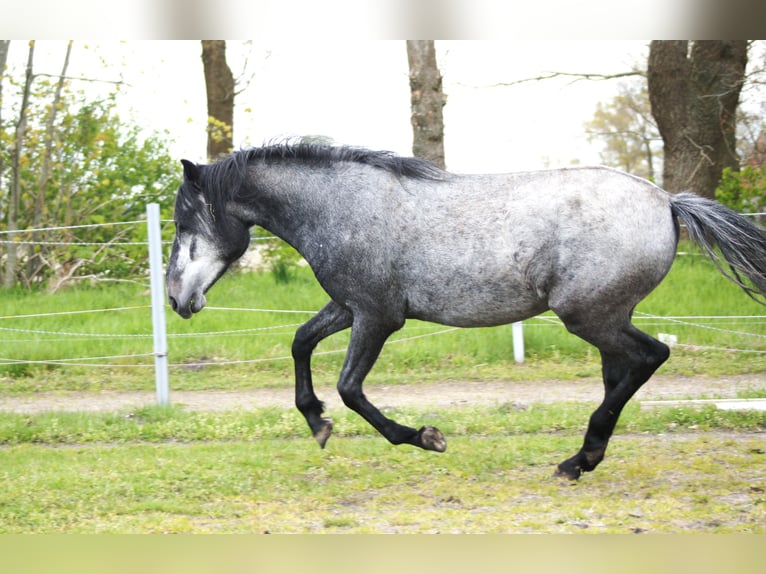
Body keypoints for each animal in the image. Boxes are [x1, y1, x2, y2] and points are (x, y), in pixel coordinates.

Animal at [165, 144, 764, 482]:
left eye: (184, 220)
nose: (176, 299)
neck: (341, 207)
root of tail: (667, 201)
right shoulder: (349, 306)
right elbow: (300, 342)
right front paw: (317, 424)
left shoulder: (379, 317)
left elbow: (351, 388)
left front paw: (425, 437)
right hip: (607, 319)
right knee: (621, 373)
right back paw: (583, 458)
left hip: (589, 317)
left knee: (649, 357)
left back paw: (576, 461)